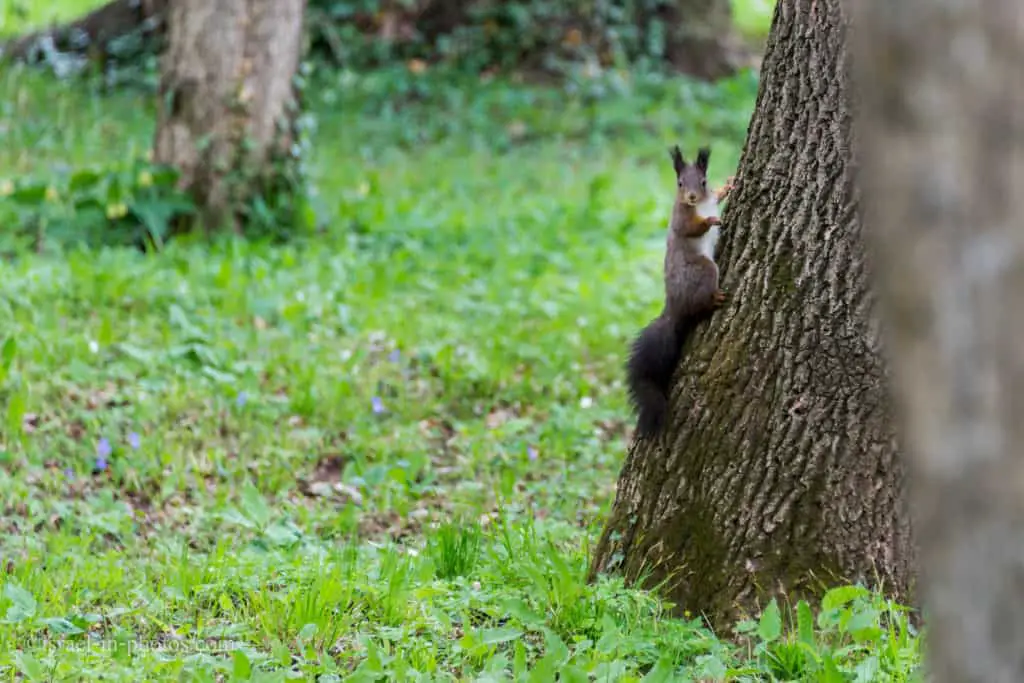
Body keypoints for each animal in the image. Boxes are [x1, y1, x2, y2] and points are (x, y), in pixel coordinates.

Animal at [622, 147, 729, 440]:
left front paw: (728, 185)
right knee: (699, 304)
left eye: (703, 181)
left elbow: (718, 195)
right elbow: (691, 228)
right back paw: (713, 300)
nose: (691, 196)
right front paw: (710, 220)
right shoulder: (681, 218)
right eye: (680, 183)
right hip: (703, 271)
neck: (698, 205)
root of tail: (673, 307)